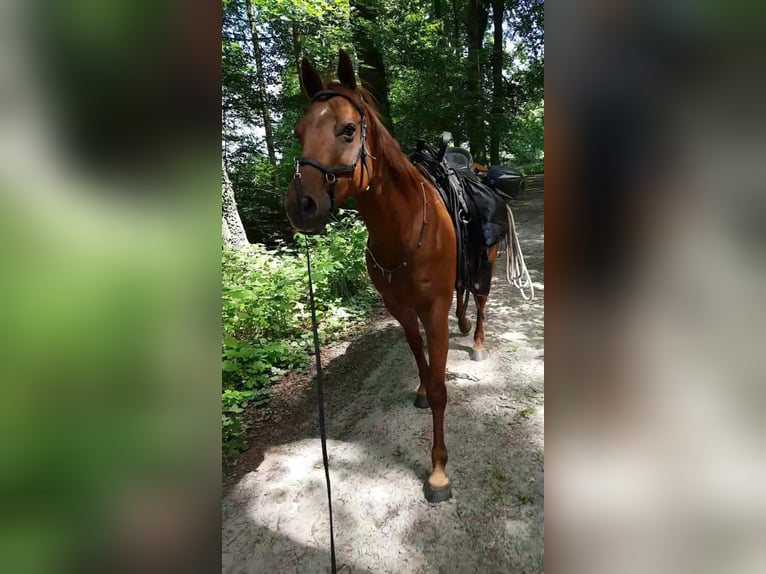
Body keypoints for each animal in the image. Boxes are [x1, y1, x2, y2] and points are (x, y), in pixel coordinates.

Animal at [284, 53, 500, 504]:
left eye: (348, 129)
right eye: (298, 133)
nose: (300, 206)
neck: (405, 228)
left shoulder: (431, 309)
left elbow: (440, 388)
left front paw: (438, 472)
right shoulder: (401, 308)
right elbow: (419, 356)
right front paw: (419, 387)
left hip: (486, 260)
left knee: (480, 299)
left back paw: (475, 341)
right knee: (463, 298)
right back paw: (463, 324)